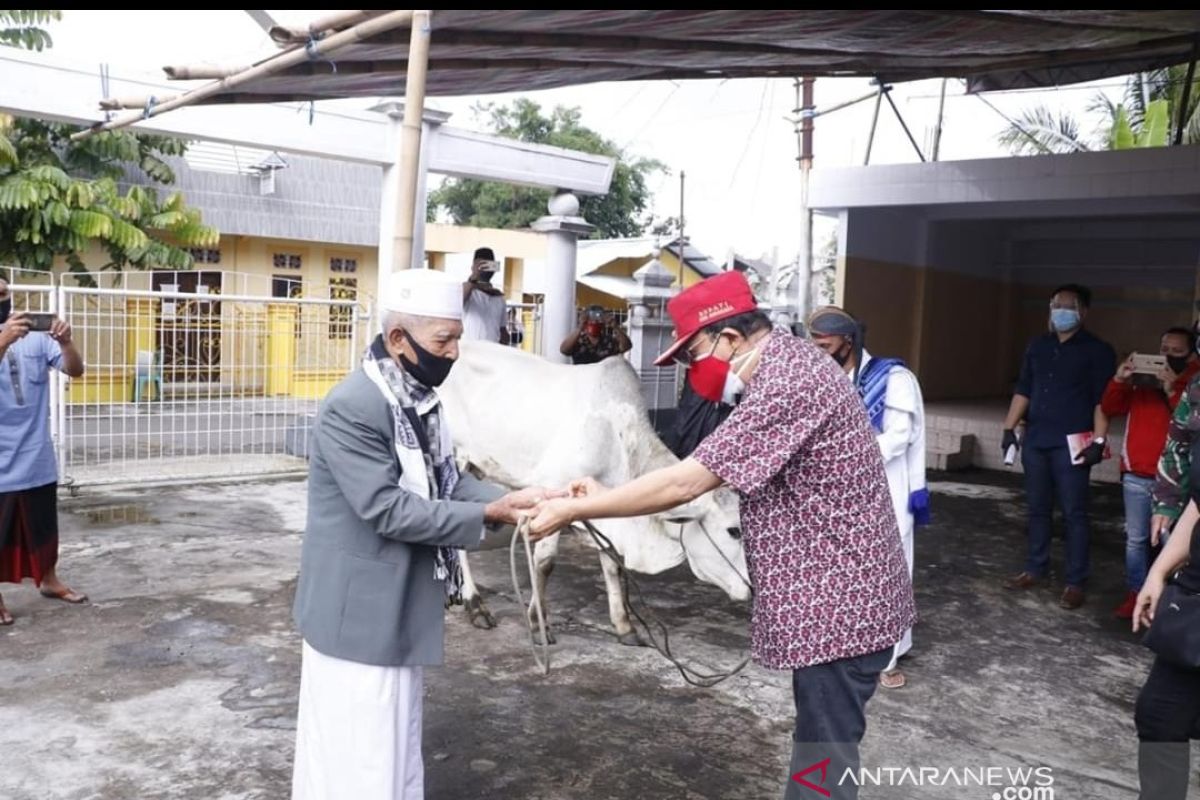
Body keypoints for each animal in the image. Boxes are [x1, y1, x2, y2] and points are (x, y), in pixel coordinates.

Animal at [441, 340, 748, 647]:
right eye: (734, 531)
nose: (752, 588)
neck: (619, 439)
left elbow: (612, 562)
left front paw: (624, 626)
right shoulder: (553, 491)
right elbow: (545, 564)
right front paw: (538, 625)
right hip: (455, 460)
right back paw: (475, 604)